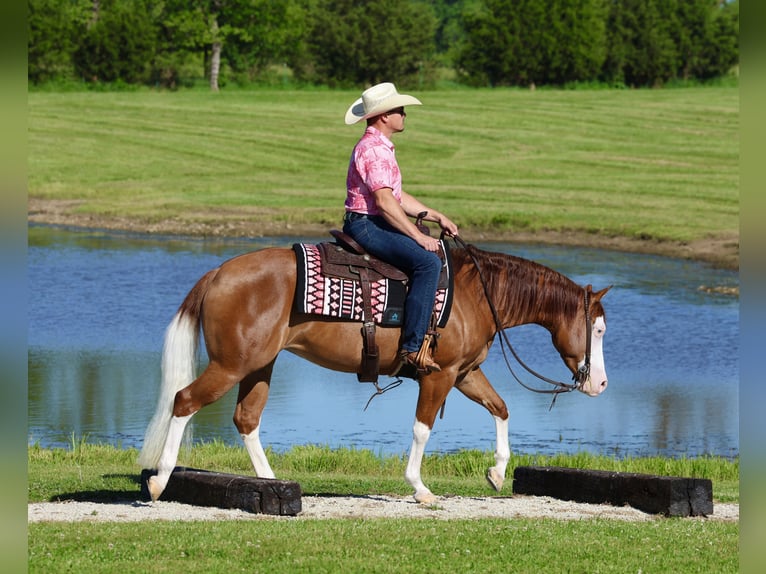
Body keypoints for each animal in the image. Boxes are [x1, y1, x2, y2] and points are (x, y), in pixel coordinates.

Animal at [138, 240, 610, 504]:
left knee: (246, 419)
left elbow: (501, 408)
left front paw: (496, 473)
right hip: (231, 365)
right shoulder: (439, 376)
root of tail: (218, 272)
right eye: (599, 329)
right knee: (184, 401)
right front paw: (419, 488)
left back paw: (273, 484)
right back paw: (160, 482)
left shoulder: (464, 373)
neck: (477, 294)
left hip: (258, 366)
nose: (601, 383)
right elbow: (422, 428)